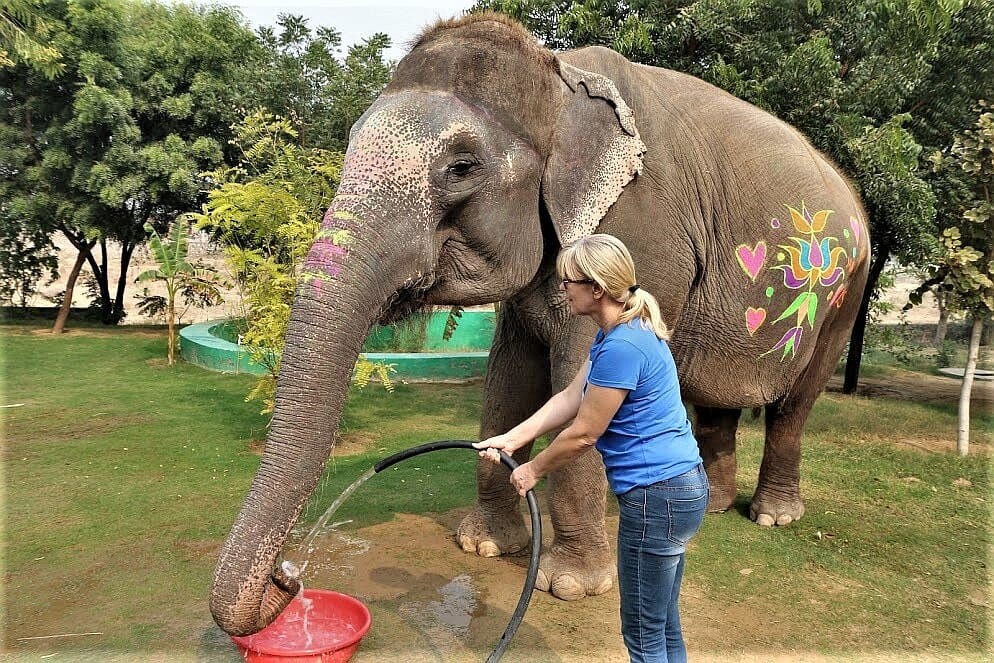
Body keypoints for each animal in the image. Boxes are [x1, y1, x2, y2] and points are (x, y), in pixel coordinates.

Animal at [210, 13, 870, 635]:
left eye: (461, 167)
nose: (286, 582)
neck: (559, 81)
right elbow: (509, 374)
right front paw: (483, 544)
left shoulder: (639, 236)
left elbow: (582, 383)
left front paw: (570, 585)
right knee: (715, 400)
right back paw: (711, 509)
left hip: (847, 294)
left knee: (794, 405)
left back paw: (773, 514)